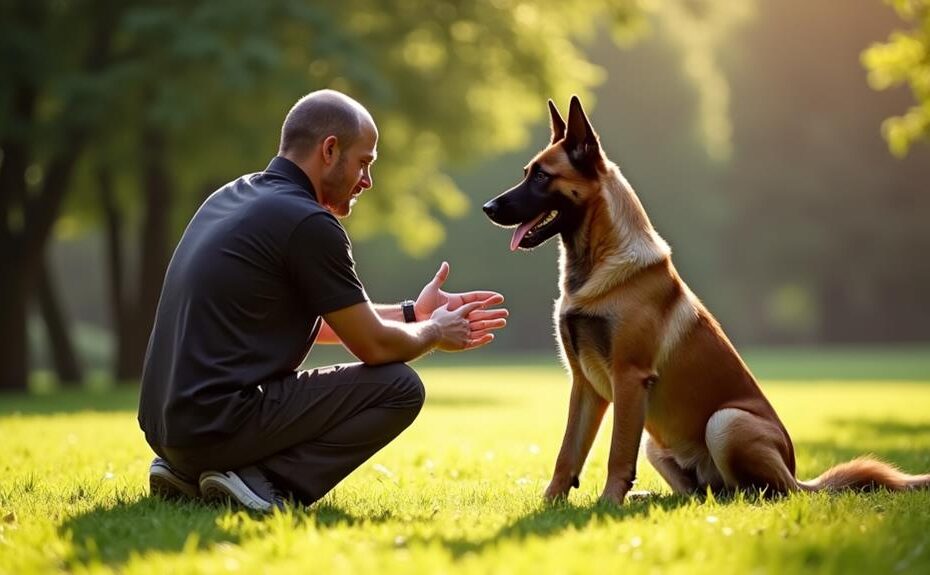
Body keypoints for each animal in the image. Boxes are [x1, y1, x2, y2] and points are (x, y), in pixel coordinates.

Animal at [482, 95, 924, 504]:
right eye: (527, 174)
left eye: (542, 177)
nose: (488, 207)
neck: (599, 263)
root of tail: (802, 478)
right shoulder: (585, 385)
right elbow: (567, 453)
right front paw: (552, 504)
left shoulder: (629, 378)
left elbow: (616, 454)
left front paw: (606, 506)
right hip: (657, 444)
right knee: (703, 493)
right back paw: (653, 497)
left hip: (725, 422)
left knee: (762, 492)